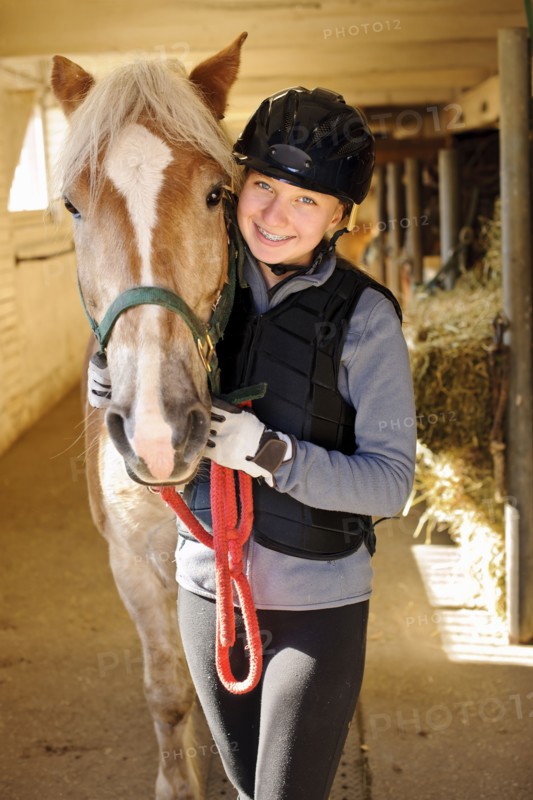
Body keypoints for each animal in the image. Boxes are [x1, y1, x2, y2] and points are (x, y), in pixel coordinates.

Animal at [51, 33, 247, 800]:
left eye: (217, 194)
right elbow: (168, 691)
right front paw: (178, 779)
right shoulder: (132, 565)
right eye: (72, 206)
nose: (160, 434)